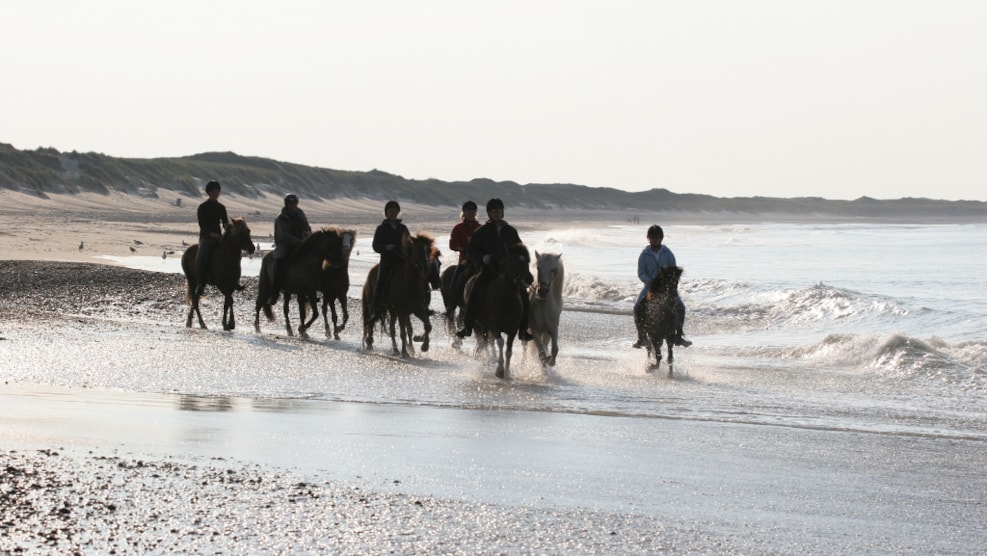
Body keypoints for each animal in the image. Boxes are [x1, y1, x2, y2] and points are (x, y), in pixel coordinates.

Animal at [468, 243, 536, 378]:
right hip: (478, 324)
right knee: (483, 341)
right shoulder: (495, 327)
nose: (529, 278)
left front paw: (507, 371)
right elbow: (500, 342)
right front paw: (499, 370)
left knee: (486, 340)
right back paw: (486, 360)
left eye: (527, 261)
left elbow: (509, 350)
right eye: (514, 262)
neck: (505, 300)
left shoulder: (513, 330)